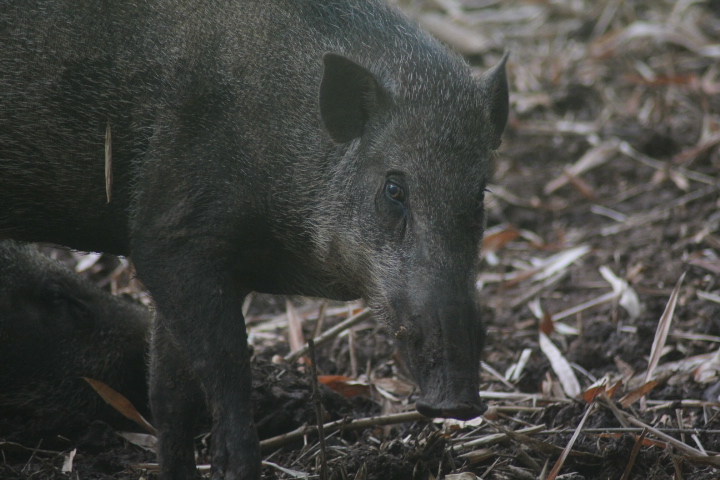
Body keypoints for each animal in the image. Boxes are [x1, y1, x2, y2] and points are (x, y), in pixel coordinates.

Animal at [0, 0, 509, 478]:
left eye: (479, 195)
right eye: (394, 189)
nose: (458, 402)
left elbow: (169, 393)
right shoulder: (170, 238)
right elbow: (224, 370)